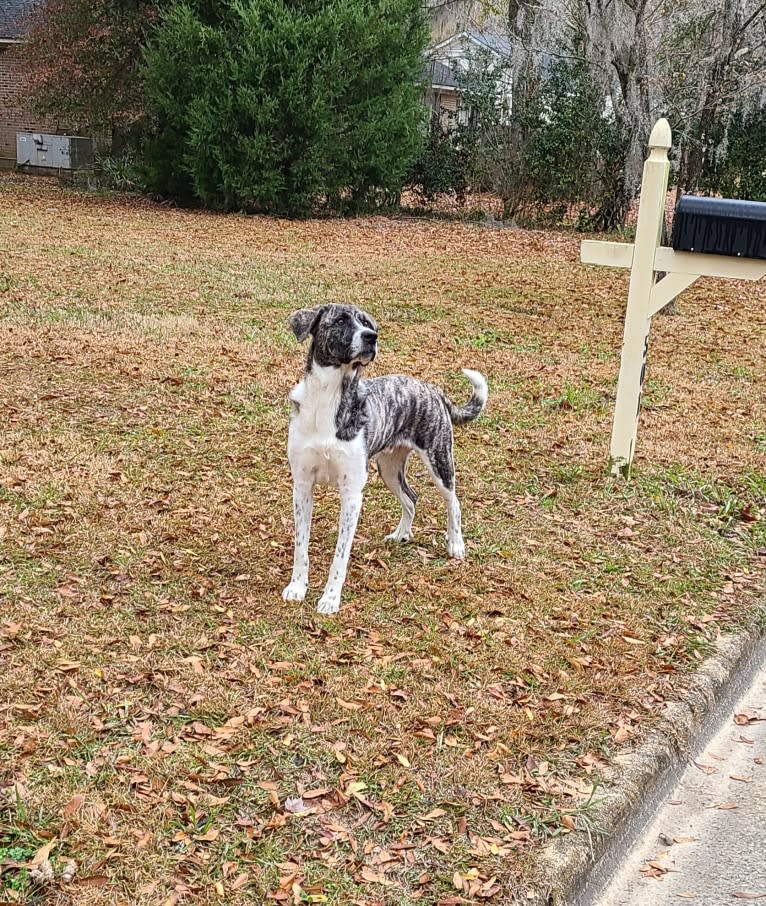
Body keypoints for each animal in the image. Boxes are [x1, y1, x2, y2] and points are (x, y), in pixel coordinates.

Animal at [280, 304, 486, 616]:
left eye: (367, 323)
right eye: (341, 320)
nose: (371, 337)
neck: (329, 397)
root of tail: (432, 389)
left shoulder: (351, 494)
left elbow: (340, 556)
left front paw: (330, 598)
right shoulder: (302, 487)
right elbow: (300, 546)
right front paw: (297, 587)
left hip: (439, 461)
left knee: (454, 502)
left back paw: (456, 544)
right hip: (388, 469)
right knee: (411, 497)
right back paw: (402, 534)